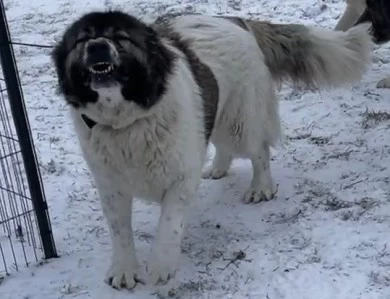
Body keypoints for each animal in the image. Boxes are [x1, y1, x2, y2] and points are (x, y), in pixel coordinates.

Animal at [51, 10, 372, 290]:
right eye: (81, 41)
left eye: (120, 37)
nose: (97, 46)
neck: (127, 123)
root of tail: (235, 19)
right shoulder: (111, 186)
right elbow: (119, 231)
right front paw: (124, 270)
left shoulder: (180, 178)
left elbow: (169, 223)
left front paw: (161, 265)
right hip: (215, 113)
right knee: (222, 143)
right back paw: (218, 168)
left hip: (239, 121)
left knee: (258, 151)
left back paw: (261, 187)